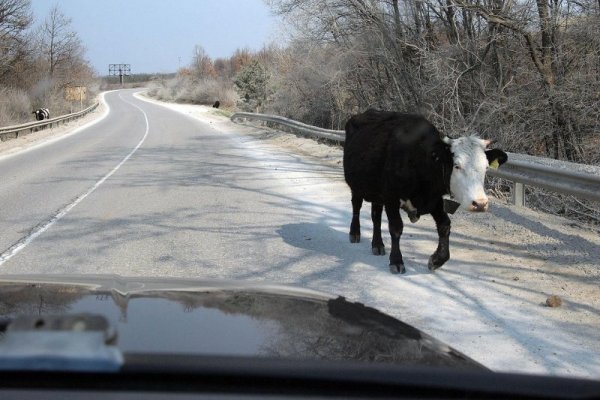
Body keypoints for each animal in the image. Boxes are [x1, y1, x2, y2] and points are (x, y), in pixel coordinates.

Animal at [342, 109, 506, 276]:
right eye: (457, 166)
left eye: (486, 167)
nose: (480, 203)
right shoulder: (391, 198)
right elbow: (396, 227)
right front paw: (396, 261)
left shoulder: (434, 199)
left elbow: (444, 225)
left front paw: (437, 260)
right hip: (356, 187)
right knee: (357, 207)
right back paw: (355, 233)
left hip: (377, 193)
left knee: (376, 216)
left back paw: (377, 244)